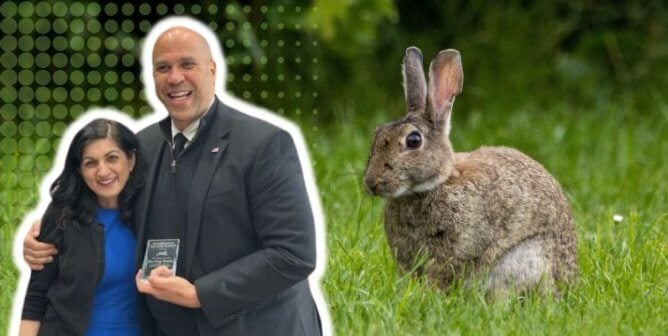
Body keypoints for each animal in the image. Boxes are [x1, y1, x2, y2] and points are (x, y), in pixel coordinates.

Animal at [362, 47, 576, 296]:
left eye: (413, 140)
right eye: (377, 133)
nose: (371, 182)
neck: (435, 184)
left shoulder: (457, 247)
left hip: (522, 260)